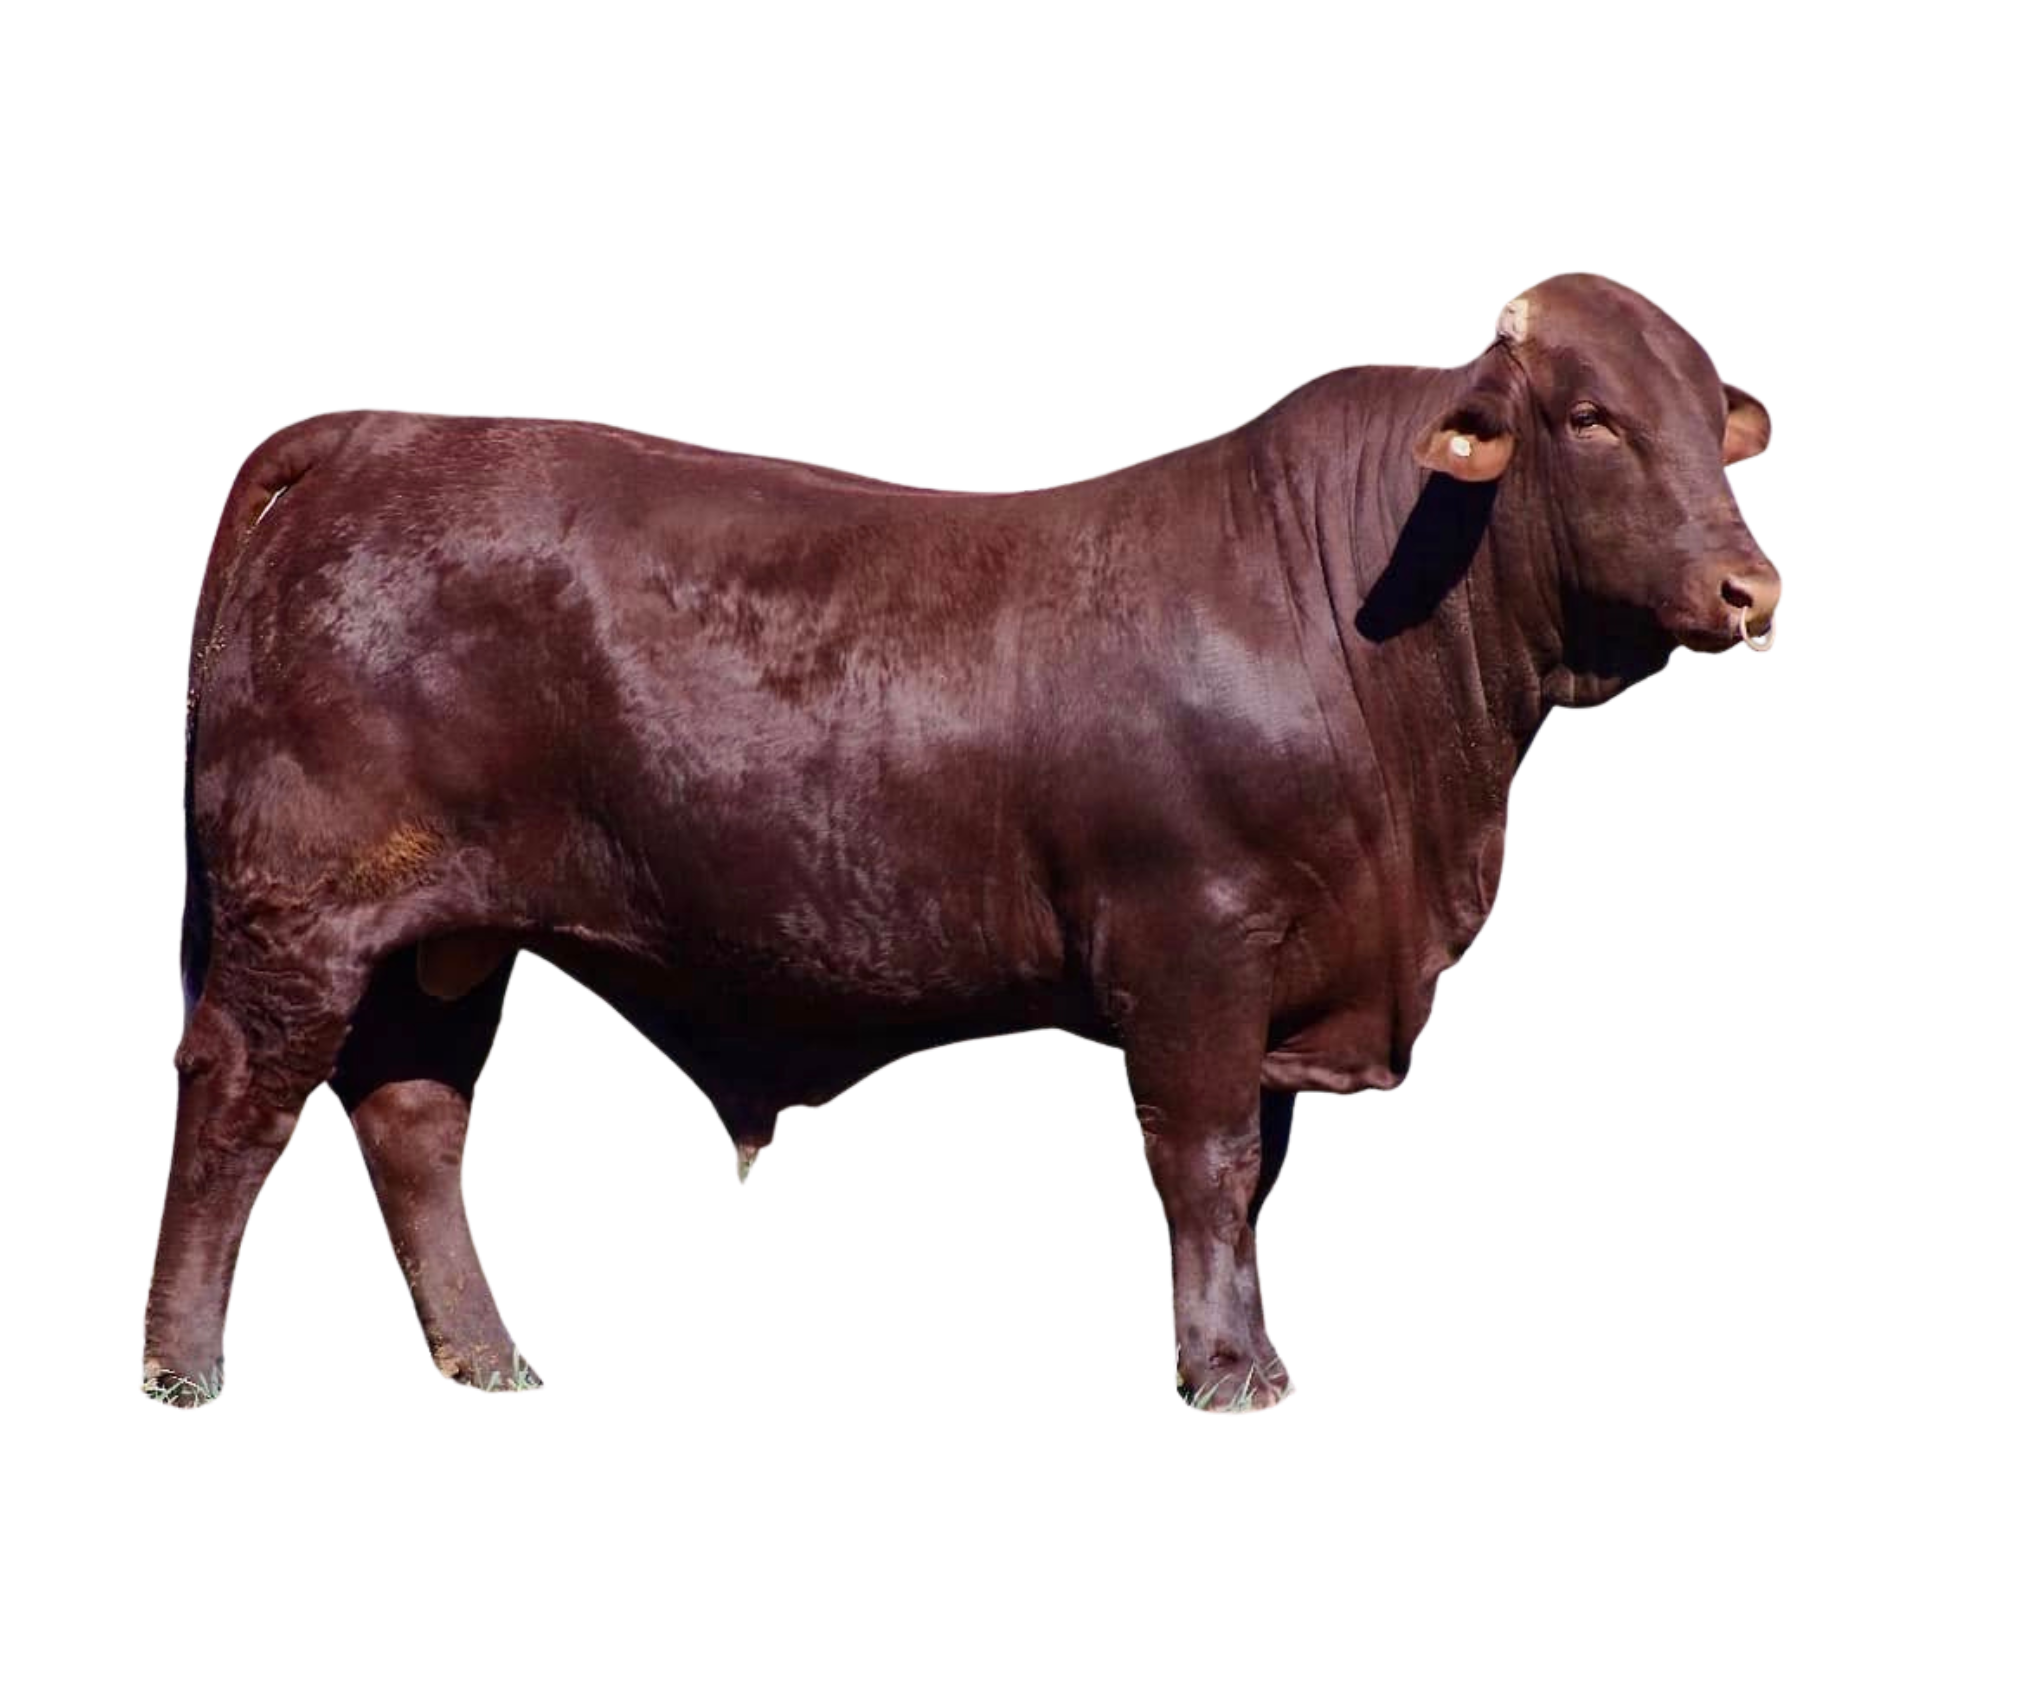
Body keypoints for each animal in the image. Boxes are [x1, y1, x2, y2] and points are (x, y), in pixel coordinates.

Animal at [145, 271, 1781, 1414]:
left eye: (1718, 424)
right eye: (1591, 416)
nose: (1753, 588)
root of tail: (384, 430)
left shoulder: (1287, 976)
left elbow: (1260, 1172)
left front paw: (1249, 1350)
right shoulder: (1191, 942)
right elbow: (1204, 1158)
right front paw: (1228, 1375)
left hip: (449, 934)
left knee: (415, 1121)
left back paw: (492, 1360)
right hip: (302, 914)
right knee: (238, 1107)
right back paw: (182, 1366)